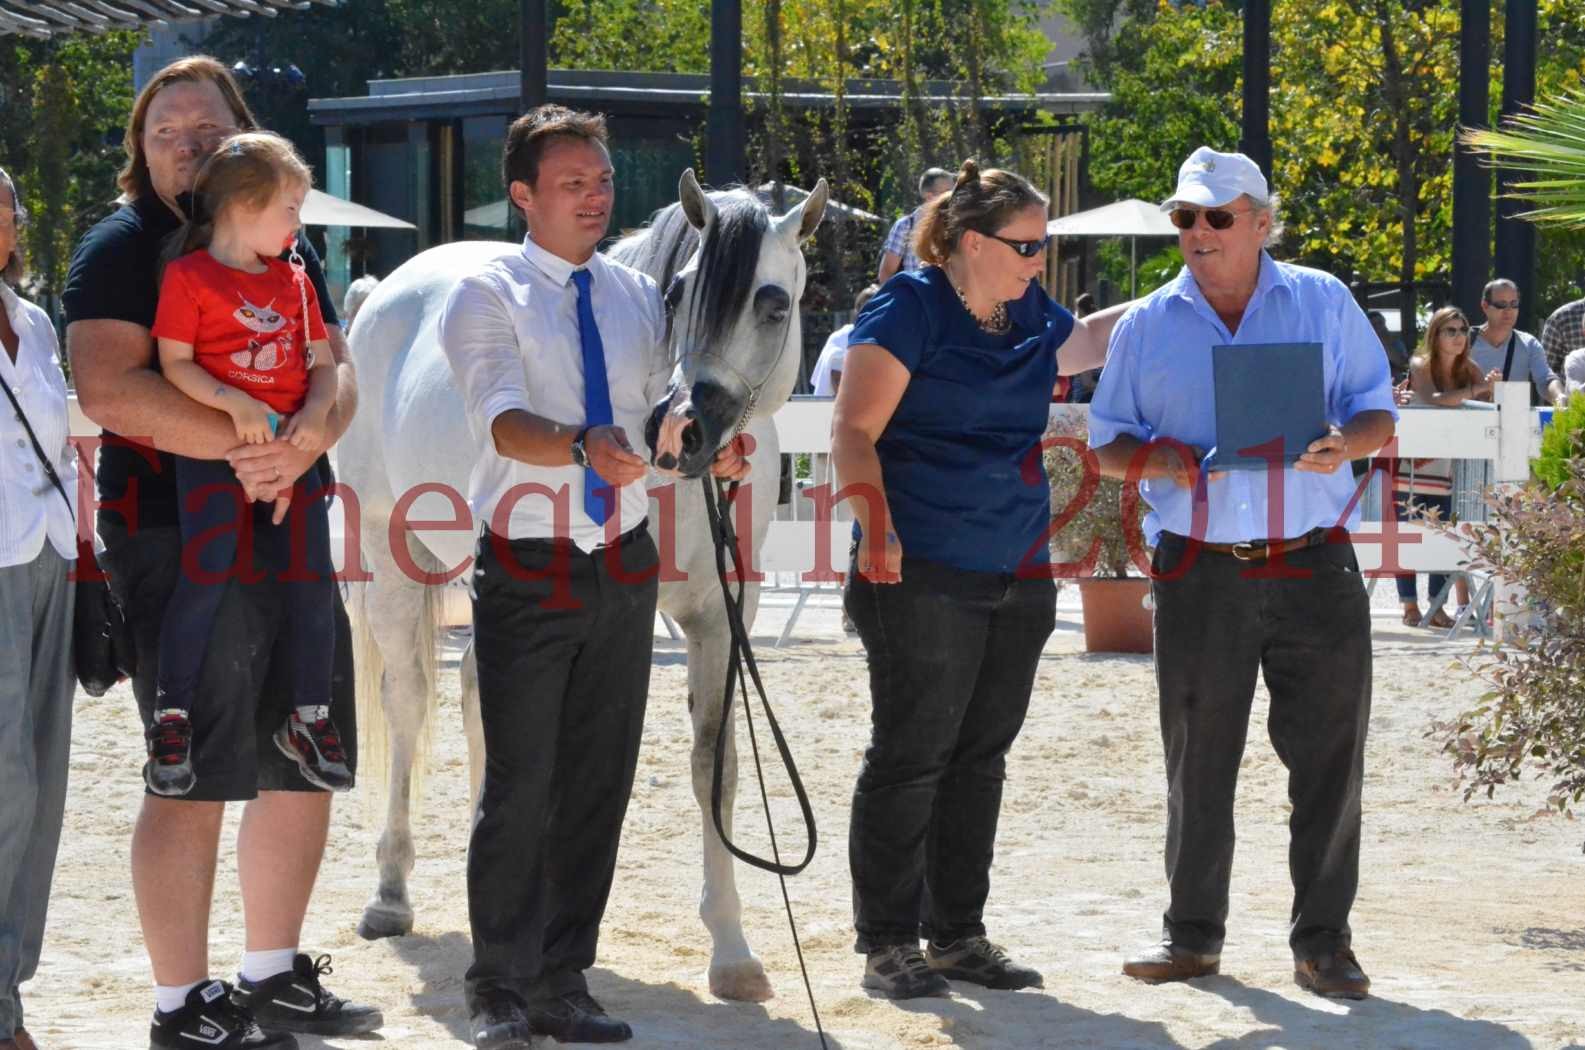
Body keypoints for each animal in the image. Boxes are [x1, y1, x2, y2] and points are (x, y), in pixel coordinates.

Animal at [334, 170, 830, 1002]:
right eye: (679, 292)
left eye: (772, 303)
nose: (681, 428)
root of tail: (380, 296)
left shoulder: (720, 619)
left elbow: (715, 766)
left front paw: (732, 952)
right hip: (390, 559)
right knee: (409, 704)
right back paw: (390, 894)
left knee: (477, 698)